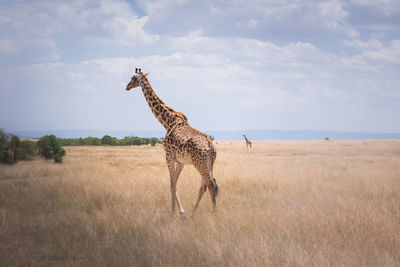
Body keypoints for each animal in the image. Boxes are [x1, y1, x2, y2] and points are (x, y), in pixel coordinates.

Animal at [126, 68, 217, 219]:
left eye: (133, 78)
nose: (127, 86)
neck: (167, 121)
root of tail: (211, 148)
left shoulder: (168, 155)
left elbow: (171, 184)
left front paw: (174, 214)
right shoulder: (180, 161)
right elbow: (175, 183)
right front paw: (181, 212)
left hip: (200, 164)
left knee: (210, 185)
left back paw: (214, 213)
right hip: (207, 164)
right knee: (204, 186)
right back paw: (193, 213)